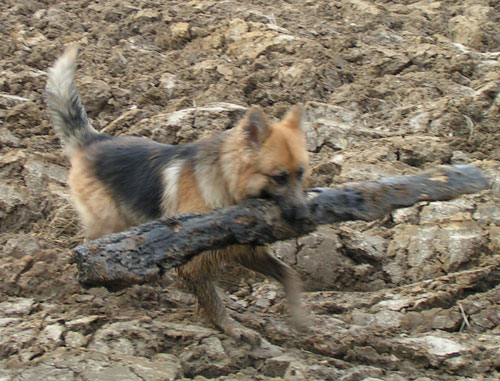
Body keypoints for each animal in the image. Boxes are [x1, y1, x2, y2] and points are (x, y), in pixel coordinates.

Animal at [47, 45, 312, 344]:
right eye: (279, 178)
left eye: (301, 173)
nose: (306, 216)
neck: (226, 182)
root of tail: (93, 140)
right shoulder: (194, 263)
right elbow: (214, 301)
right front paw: (232, 328)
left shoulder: (243, 250)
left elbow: (288, 273)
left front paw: (299, 316)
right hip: (107, 224)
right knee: (91, 253)